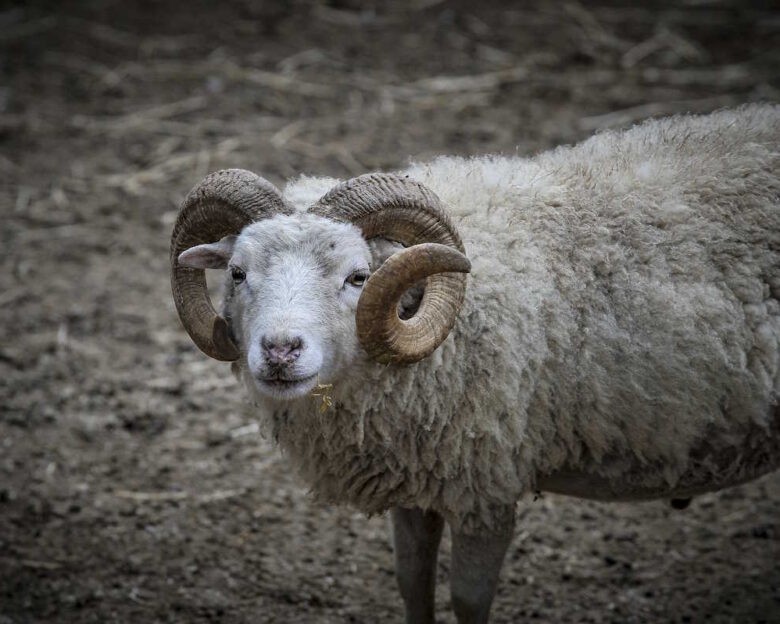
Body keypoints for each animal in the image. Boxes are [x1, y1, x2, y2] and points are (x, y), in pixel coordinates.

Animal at [171, 105, 780, 624]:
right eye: (238, 273)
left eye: (358, 277)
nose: (279, 351)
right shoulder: (413, 478)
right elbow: (412, 582)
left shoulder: (486, 486)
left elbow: (467, 598)